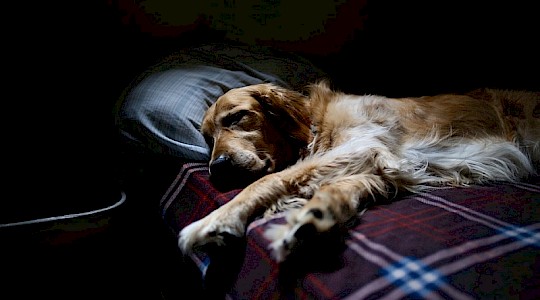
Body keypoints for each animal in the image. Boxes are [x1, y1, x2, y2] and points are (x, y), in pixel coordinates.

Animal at [178, 81, 540, 262]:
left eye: (237, 117)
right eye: (207, 138)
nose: (217, 169)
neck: (316, 125)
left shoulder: (365, 144)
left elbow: (270, 179)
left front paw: (216, 220)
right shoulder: (381, 168)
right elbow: (336, 189)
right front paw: (314, 217)